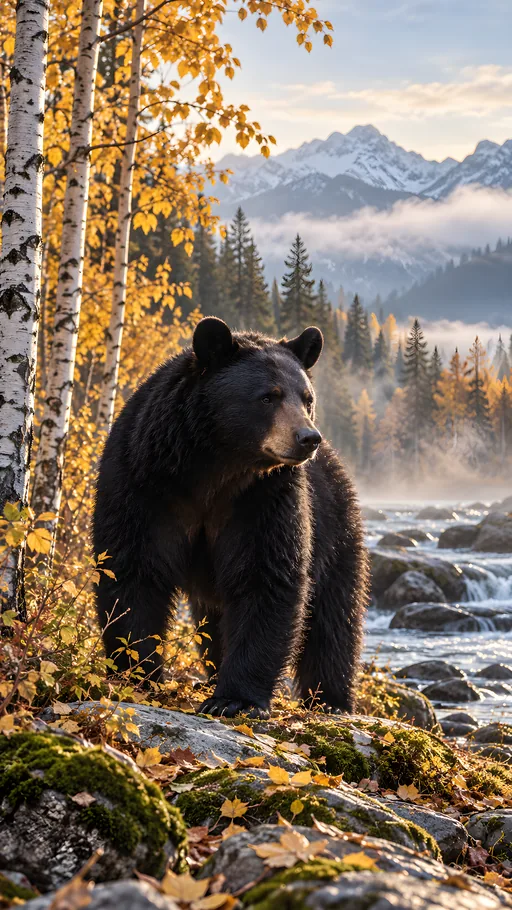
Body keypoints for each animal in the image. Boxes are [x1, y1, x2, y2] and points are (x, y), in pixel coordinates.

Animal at [93, 317, 369, 717]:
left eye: (307, 398)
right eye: (268, 396)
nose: (308, 438)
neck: (217, 465)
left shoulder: (263, 500)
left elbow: (265, 576)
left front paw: (235, 699)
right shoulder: (144, 484)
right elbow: (133, 570)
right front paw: (137, 673)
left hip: (336, 534)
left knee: (333, 624)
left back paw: (331, 701)